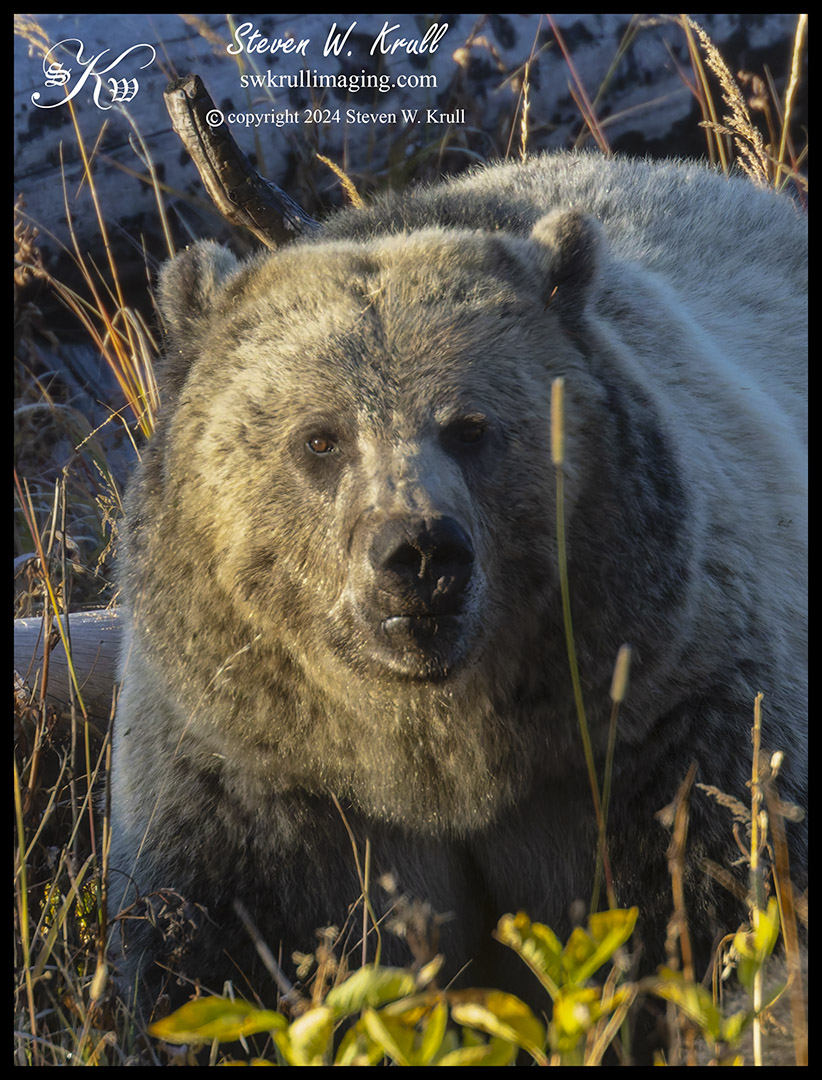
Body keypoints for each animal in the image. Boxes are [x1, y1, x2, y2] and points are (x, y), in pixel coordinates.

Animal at [110, 152, 807, 1020]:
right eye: (320, 439)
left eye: (471, 427)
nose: (419, 554)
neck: (439, 759)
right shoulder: (257, 782)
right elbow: (216, 955)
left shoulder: (664, 732)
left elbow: (712, 897)